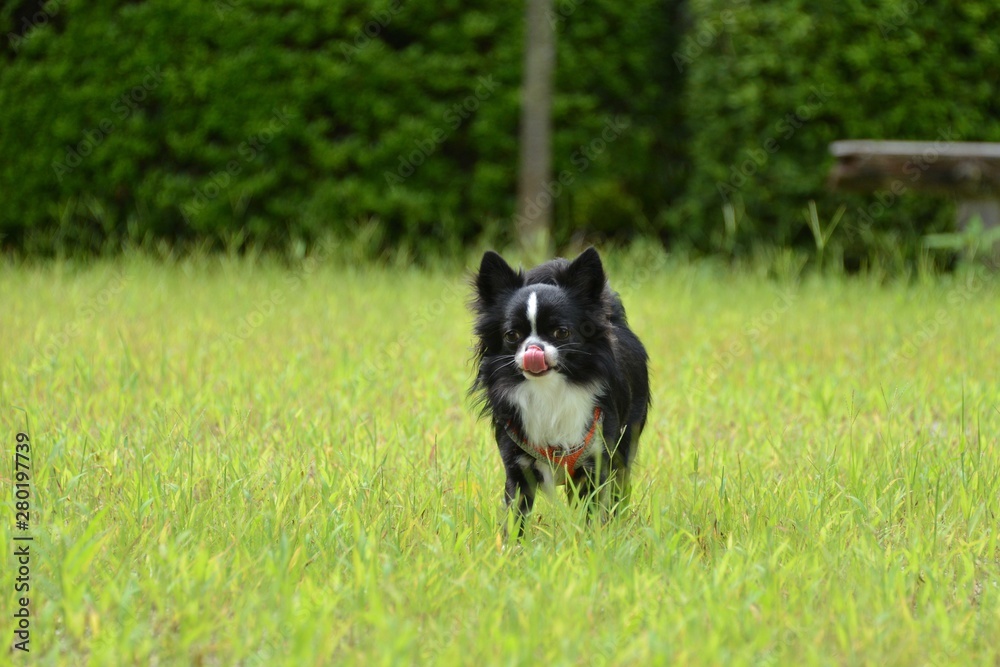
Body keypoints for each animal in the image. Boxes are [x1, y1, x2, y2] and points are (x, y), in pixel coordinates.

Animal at [472, 248, 652, 536]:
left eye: (561, 332)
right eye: (512, 335)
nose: (533, 349)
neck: (549, 391)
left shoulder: (596, 466)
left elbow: (595, 513)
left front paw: (593, 541)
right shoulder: (518, 470)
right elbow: (516, 517)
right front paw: (512, 546)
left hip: (624, 446)